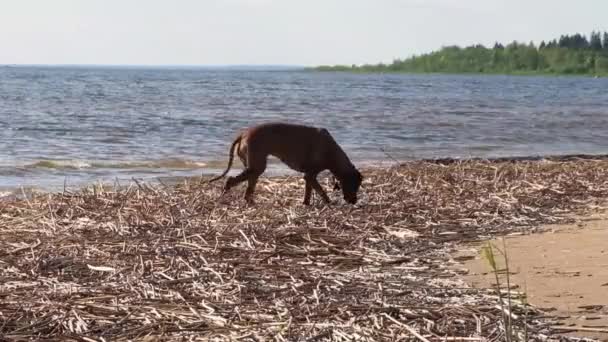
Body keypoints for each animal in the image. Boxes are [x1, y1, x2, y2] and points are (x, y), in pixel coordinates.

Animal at [207, 121, 364, 204]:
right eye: (353, 185)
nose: (354, 201)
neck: (331, 151)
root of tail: (243, 134)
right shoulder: (311, 175)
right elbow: (321, 191)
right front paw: (329, 202)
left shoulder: (309, 176)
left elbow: (309, 191)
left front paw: (306, 204)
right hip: (256, 166)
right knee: (231, 180)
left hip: (254, 168)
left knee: (248, 188)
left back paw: (250, 202)